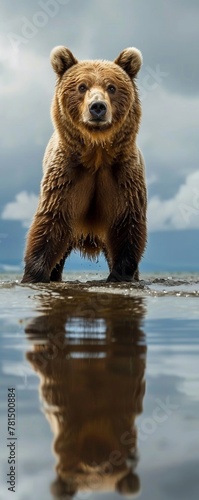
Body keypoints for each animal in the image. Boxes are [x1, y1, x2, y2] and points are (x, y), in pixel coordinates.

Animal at [21, 45, 147, 284]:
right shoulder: (67, 179)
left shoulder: (122, 179)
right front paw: (34, 275)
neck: (96, 155)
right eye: (82, 86)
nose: (97, 107)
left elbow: (127, 226)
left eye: (111, 87)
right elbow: (50, 225)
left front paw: (119, 276)